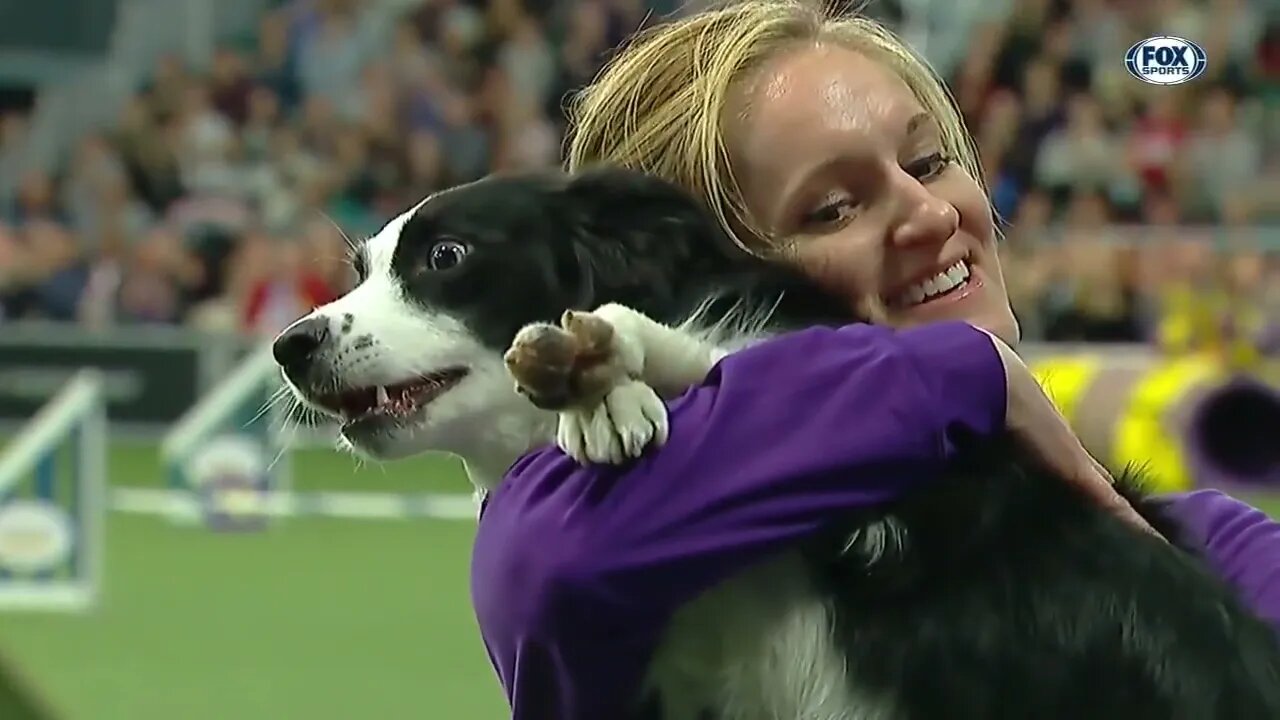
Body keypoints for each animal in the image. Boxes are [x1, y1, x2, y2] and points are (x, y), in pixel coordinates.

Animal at [272, 165, 1280, 712]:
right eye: (360, 271)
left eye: (446, 258)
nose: (291, 346)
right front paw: (599, 382)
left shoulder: (946, 496)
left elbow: (744, 355)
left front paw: (607, 368)